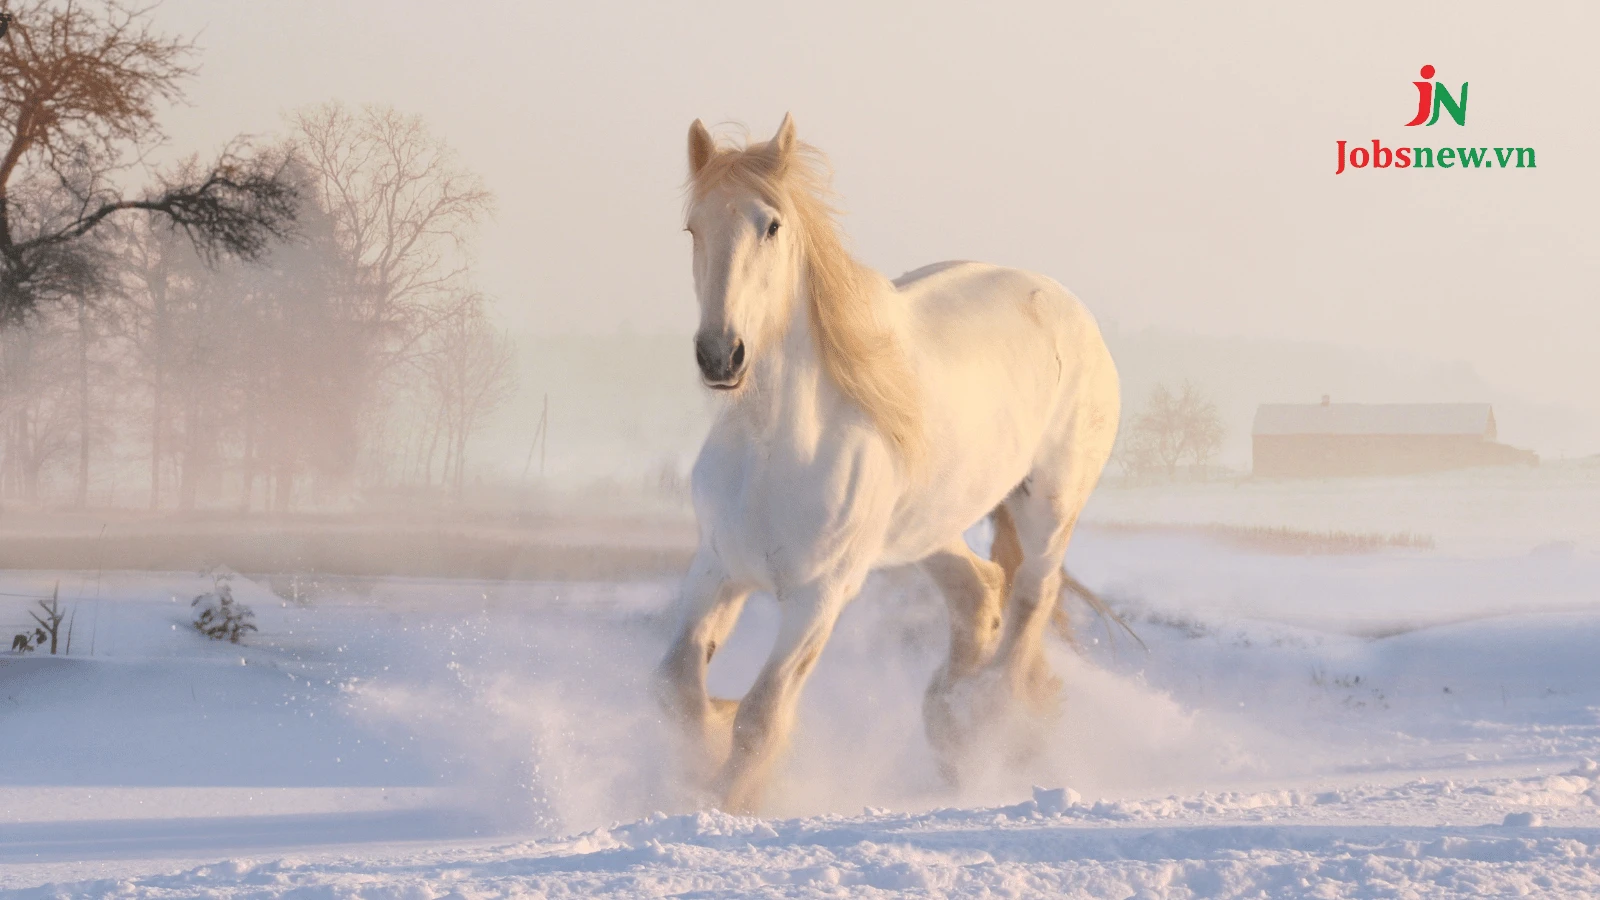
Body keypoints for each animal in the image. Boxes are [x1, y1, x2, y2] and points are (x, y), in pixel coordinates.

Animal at [656, 113, 1120, 813]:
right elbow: (678, 688)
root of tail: (1069, 307)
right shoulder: (717, 568)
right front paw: (704, 754)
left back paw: (985, 723)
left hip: (1048, 506)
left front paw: (730, 801)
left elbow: (761, 717)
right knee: (980, 591)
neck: (774, 450)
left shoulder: (820, 596)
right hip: (927, 528)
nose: (720, 355)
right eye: (693, 227)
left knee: (1030, 600)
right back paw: (950, 723)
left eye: (772, 225)